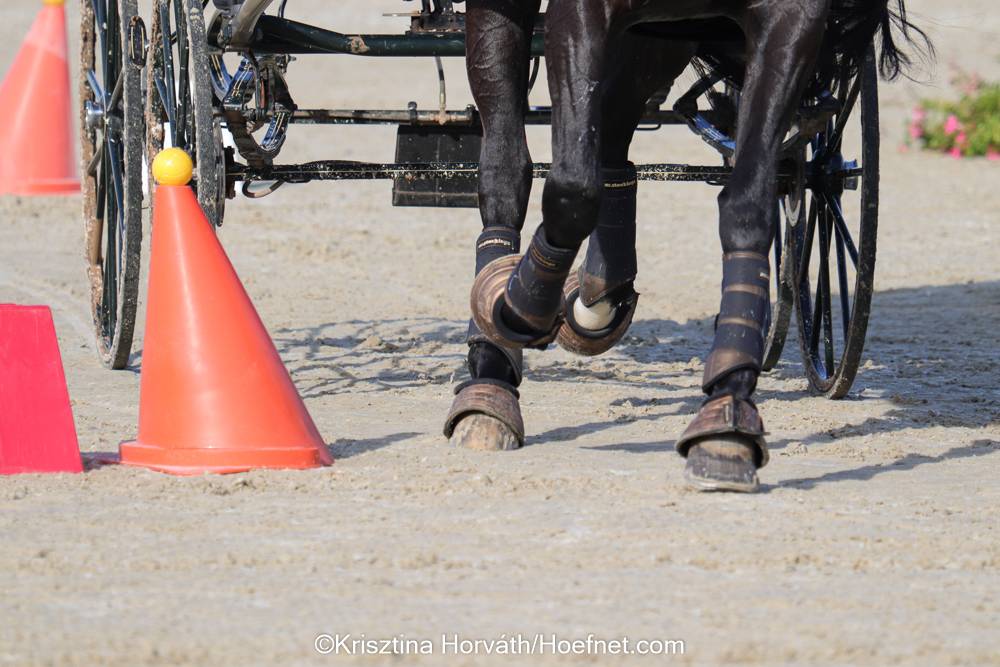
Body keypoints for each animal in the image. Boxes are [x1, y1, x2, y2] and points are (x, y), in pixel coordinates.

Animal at [442, 0, 924, 490]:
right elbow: (572, 188)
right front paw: (514, 308)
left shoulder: (790, 18)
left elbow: (746, 206)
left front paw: (728, 415)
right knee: (506, 165)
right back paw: (491, 374)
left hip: (663, 35)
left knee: (611, 130)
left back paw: (597, 295)